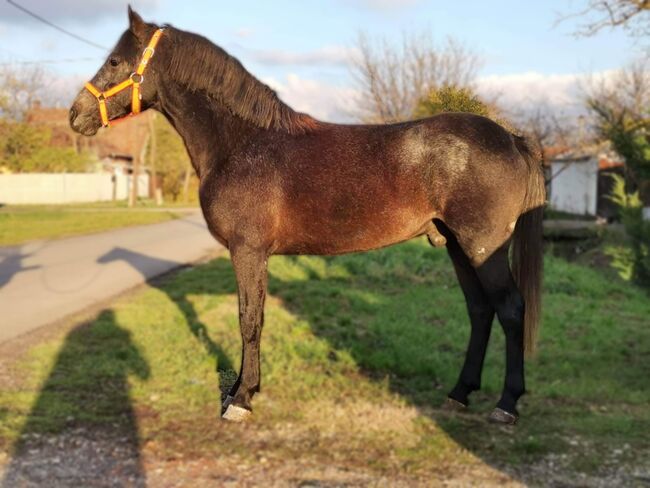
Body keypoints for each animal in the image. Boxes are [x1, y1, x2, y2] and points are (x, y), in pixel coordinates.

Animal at [68, 8, 544, 428]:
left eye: (115, 60)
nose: (76, 114)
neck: (241, 143)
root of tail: (511, 138)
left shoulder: (247, 251)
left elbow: (249, 319)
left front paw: (241, 399)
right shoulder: (254, 255)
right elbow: (254, 316)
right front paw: (241, 389)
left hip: (482, 246)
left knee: (510, 308)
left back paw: (506, 405)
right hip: (457, 247)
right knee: (480, 310)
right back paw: (459, 393)